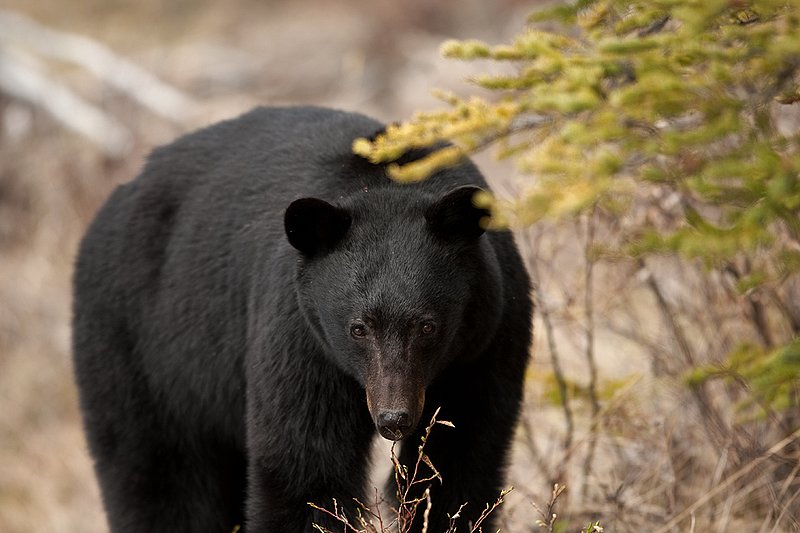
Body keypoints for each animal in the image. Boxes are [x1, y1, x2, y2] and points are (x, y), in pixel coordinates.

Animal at [72, 106, 533, 532]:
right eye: (358, 328)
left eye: (427, 325)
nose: (394, 418)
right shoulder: (303, 338)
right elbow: (305, 471)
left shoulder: (485, 344)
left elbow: (460, 464)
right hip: (141, 351)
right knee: (158, 478)